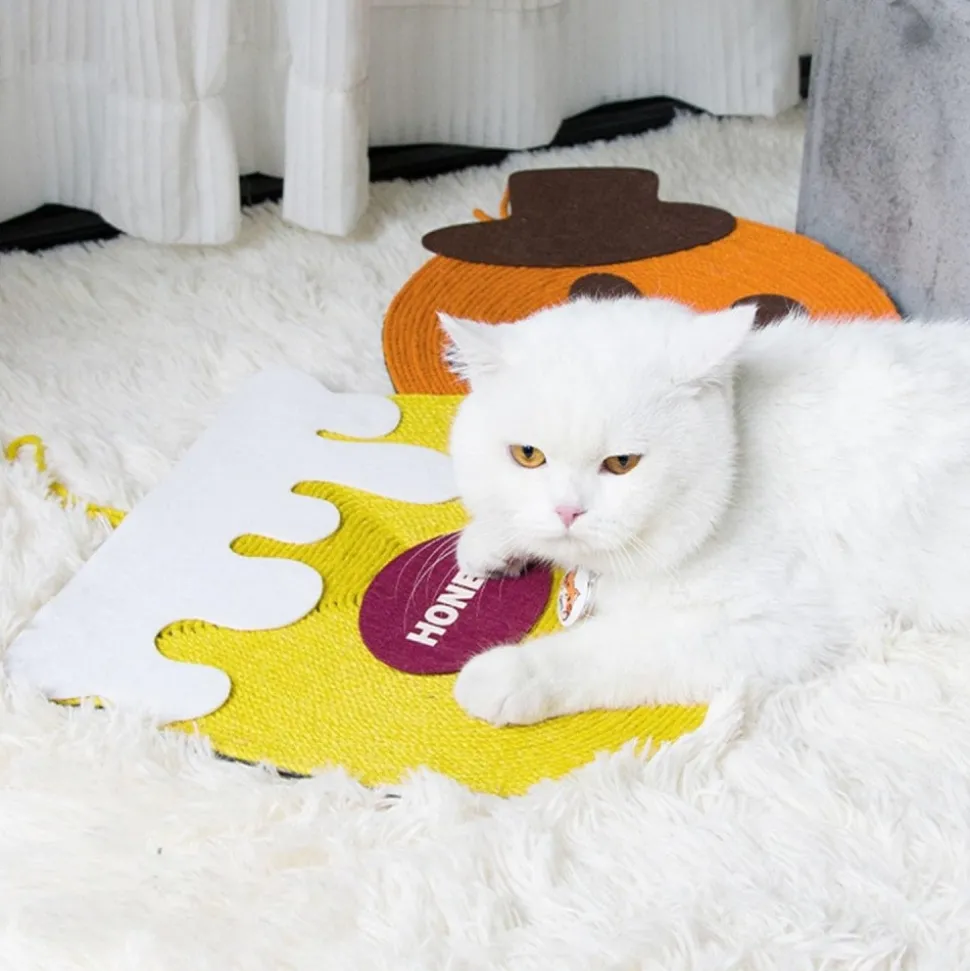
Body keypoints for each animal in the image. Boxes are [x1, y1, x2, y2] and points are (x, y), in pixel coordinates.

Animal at [441, 296, 970, 726]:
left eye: (622, 463)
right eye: (528, 455)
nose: (568, 511)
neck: (743, 448)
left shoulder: (780, 625)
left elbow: (613, 648)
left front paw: (510, 675)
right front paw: (491, 541)